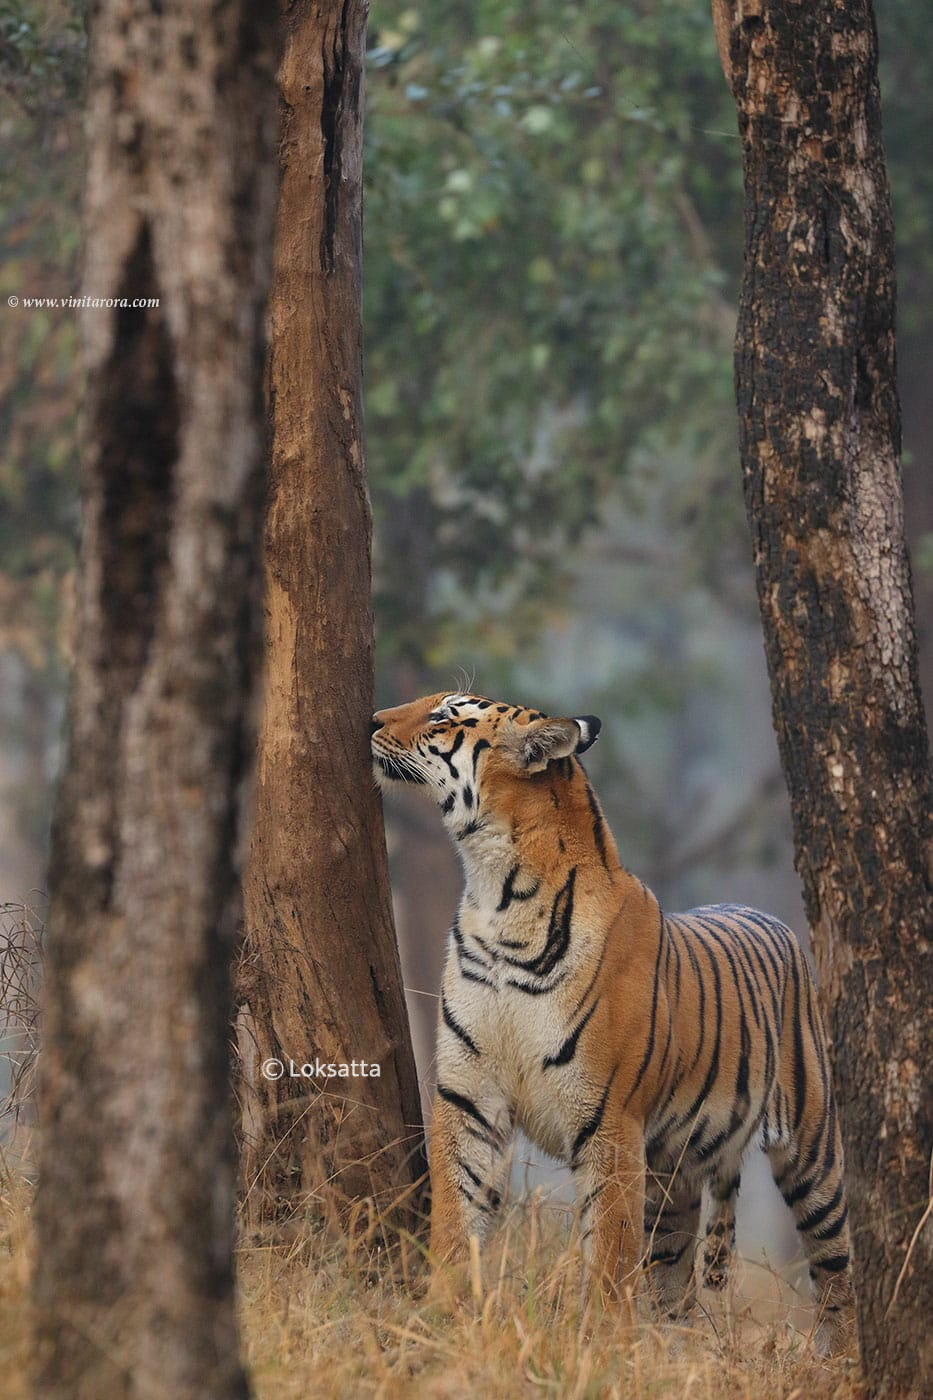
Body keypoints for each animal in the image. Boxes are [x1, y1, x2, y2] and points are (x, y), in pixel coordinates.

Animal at [369, 694, 851, 1349]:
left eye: (444, 717)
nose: (370, 720)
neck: (497, 895)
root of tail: (772, 919)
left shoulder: (609, 1118)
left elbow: (609, 1249)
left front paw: (601, 1341)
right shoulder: (468, 1095)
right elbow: (455, 1209)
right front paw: (443, 1311)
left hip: (812, 1151)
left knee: (836, 1266)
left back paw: (841, 1355)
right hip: (675, 1178)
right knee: (676, 1277)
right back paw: (675, 1347)